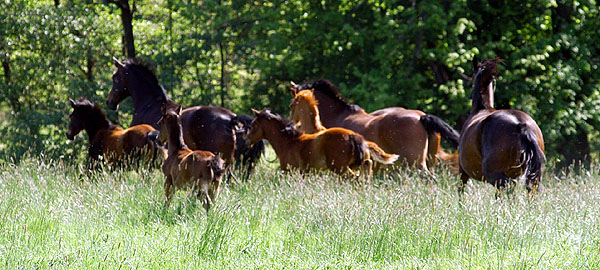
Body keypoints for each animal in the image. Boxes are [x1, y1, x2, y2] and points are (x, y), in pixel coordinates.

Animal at [244, 108, 398, 176]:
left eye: (253, 124)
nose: (246, 139)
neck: (289, 142)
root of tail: (354, 136)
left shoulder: (291, 171)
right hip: (359, 164)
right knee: (367, 172)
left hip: (340, 168)